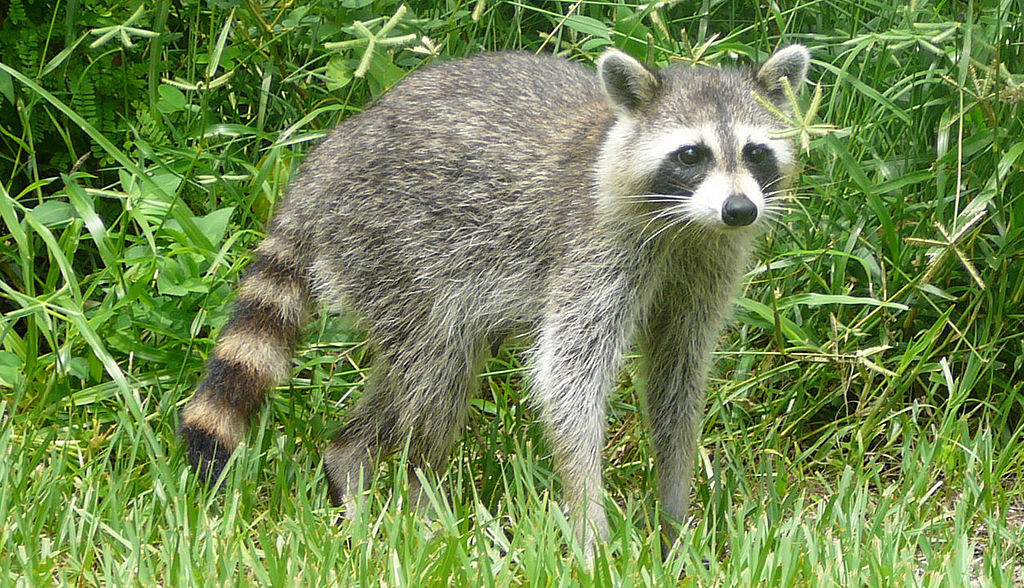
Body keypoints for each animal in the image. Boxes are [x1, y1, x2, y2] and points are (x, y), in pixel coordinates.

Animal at [180, 45, 811, 557]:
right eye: (691, 154)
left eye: (755, 152)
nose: (740, 209)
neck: (686, 226)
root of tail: (328, 158)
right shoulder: (593, 247)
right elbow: (568, 381)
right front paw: (590, 524)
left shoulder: (708, 263)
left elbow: (677, 380)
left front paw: (674, 520)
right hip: (394, 247)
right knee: (436, 375)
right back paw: (420, 496)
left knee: (419, 373)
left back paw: (350, 461)